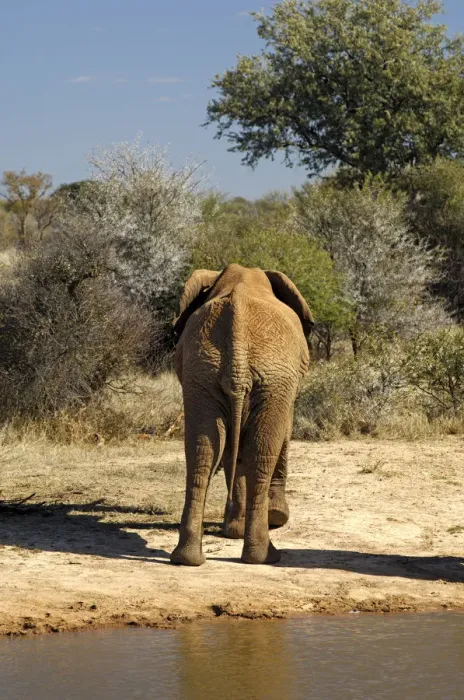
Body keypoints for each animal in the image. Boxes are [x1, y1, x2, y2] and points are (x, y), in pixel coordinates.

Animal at [170, 263, 313, 566]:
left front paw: (233, 528)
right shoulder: (287, 387)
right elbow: (283, 433)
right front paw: (275, 517)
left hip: (203, 373)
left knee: (202, 450)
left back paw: (188, 558)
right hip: (274, 377)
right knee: (262, 451)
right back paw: (264, 555)